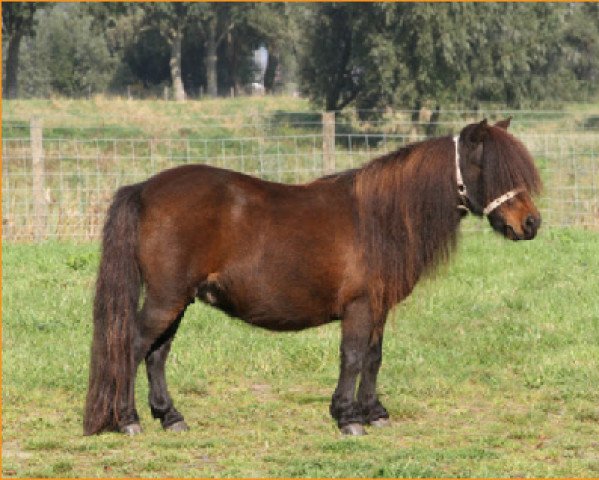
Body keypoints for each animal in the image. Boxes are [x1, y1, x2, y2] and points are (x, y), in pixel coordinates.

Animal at [83, 119, 544, 436]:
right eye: (492, 170)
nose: (531, 223)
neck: (381, 216)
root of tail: (144, 189)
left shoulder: (378, 309)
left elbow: (374, 358)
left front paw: (374, 413)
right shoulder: (359, 307)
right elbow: (353, 357)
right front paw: (346, 418)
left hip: (178, 299)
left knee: (156, 354)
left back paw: (170, 417)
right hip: (166, 299)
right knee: (131, 346)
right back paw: (127, 420)